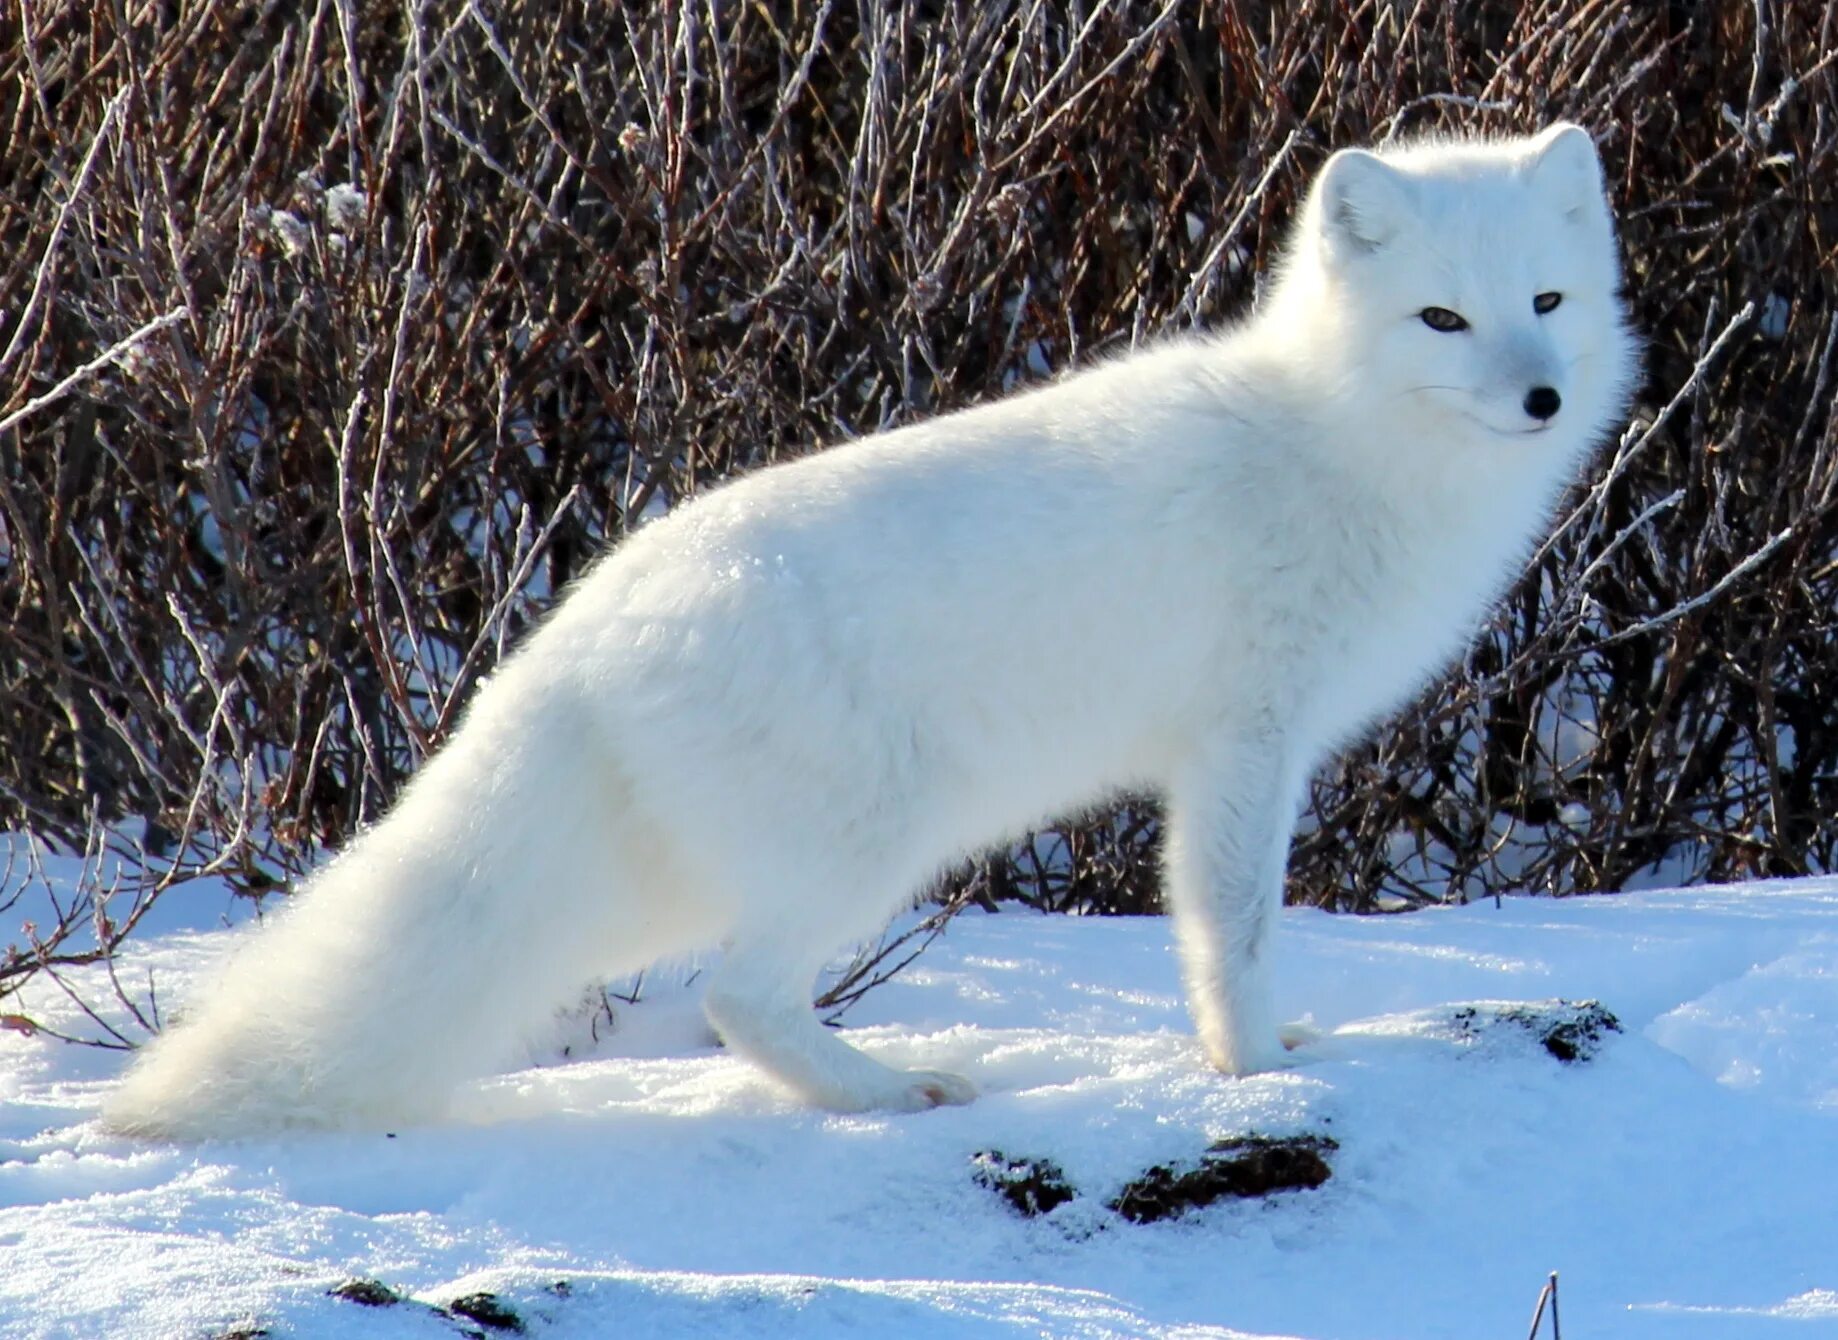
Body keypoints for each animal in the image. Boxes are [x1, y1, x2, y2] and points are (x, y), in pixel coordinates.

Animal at [104, 123, 1639, 1139]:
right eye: (1438, 318)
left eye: (1544, 301)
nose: (1543, 399)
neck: (1339, 440)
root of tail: (582, 624)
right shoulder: (1240, 746)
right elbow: (1232, 926)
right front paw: (1255, 1066)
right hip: (873, 841)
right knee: (740, 998)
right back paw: (893, 1090)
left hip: (675, 875)